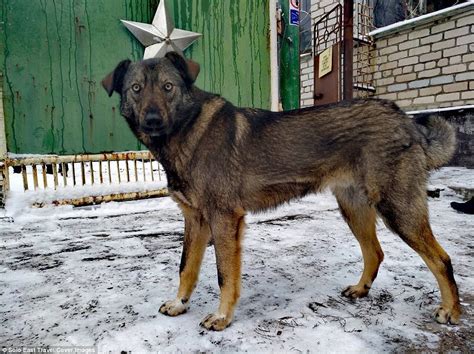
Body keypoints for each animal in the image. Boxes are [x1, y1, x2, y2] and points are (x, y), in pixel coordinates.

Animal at [102, 51, 462, 330]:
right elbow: (186, 267)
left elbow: (223, 275)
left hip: (398, 211)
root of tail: (404, 119)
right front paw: (180, 303)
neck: (186, 131)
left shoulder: (224, 221)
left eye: (168, 87)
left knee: (442, 259)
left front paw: (222, 317)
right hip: (354, 209)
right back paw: (361, 289)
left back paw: (451, 310)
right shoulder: (195, 221)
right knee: (375, 252)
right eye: (136, 89)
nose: (152, 120)